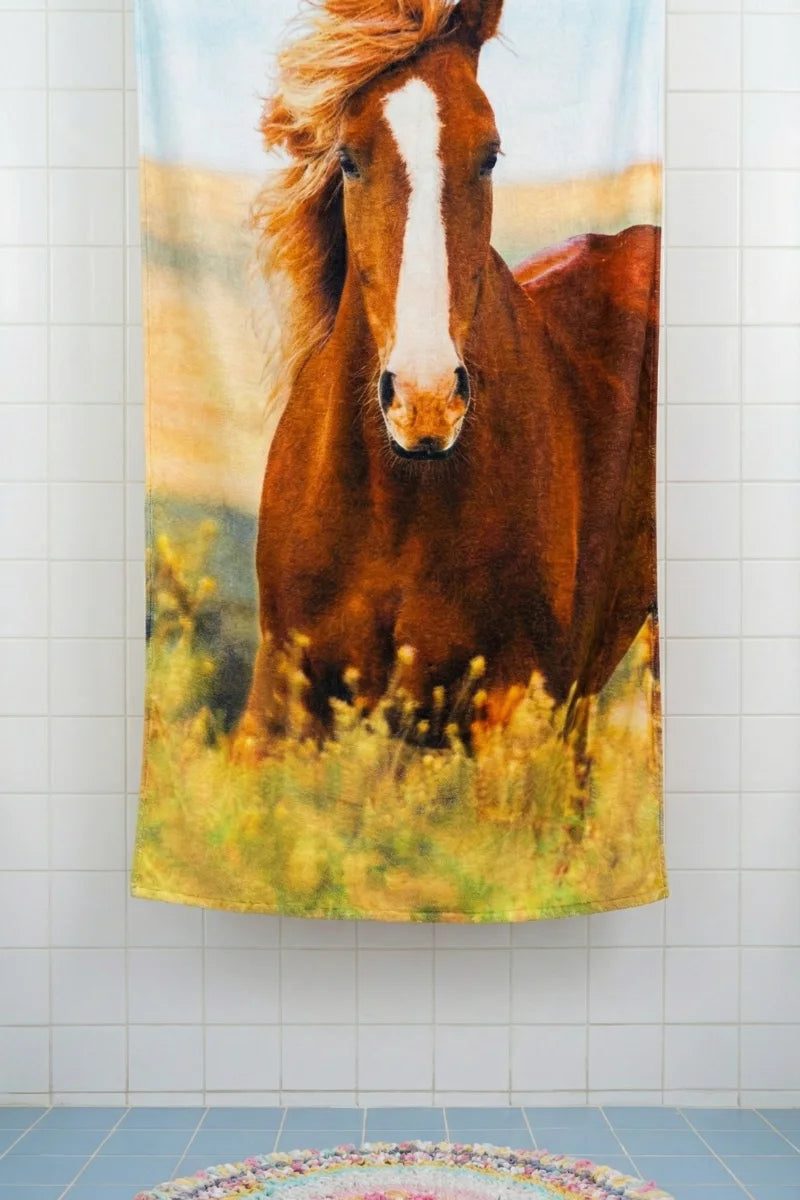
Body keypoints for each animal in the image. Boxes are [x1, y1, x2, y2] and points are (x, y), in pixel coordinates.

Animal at [245, 0, 660, 741]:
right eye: (347, 159)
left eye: (489, 154)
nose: (426, 401)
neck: (396, 499)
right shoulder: (282, 693)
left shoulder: (512, 703)